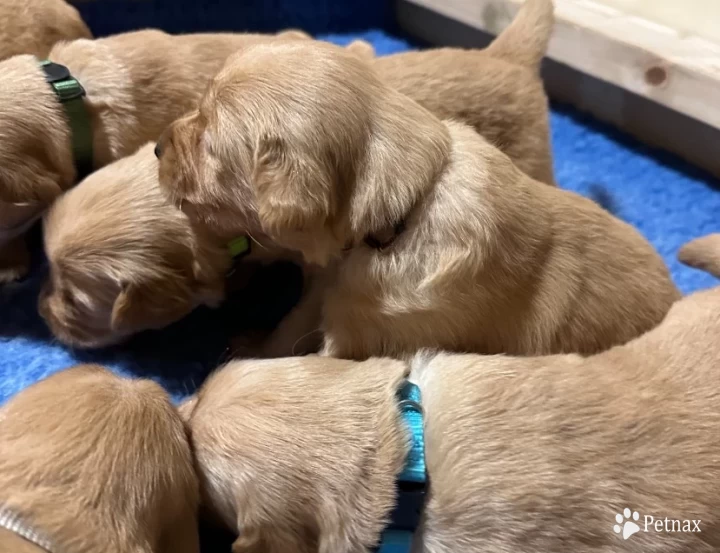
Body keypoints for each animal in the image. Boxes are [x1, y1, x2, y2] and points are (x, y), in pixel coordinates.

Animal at [158, 40, 680, 358]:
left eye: (207, 144)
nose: (158, 148)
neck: (405, 210)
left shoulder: (363, 336)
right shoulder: (328, 288)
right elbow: (290, 324)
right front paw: (255, 347)